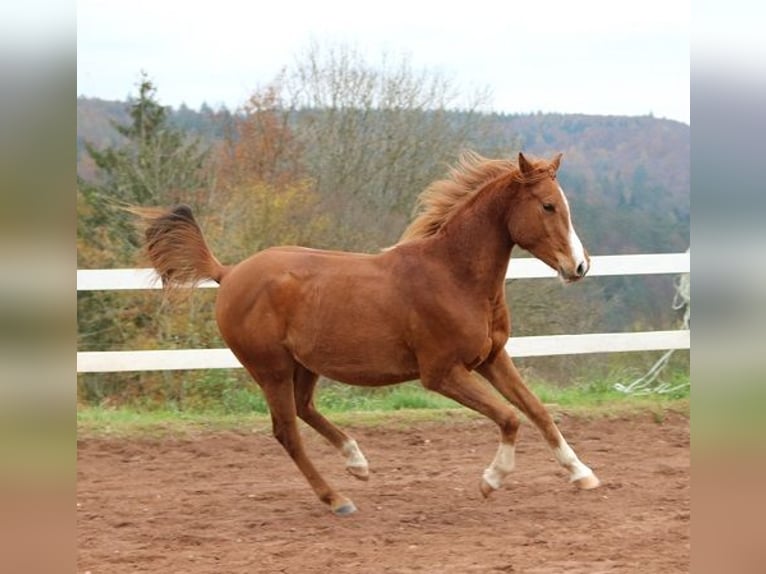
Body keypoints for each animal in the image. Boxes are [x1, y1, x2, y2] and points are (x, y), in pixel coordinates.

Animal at [135, 150, 604, 516]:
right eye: (548, 206)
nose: (580, 266)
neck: (453, 275)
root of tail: (228, 273)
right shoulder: (441, 374)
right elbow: (509, 416)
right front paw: (491, 480)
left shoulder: (492, 357)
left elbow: (537, 410)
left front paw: (582, 474)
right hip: (270, 369)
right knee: (286, 431)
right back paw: (337, 498)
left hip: (304, 365)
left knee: (304, 409)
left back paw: (356, 462)